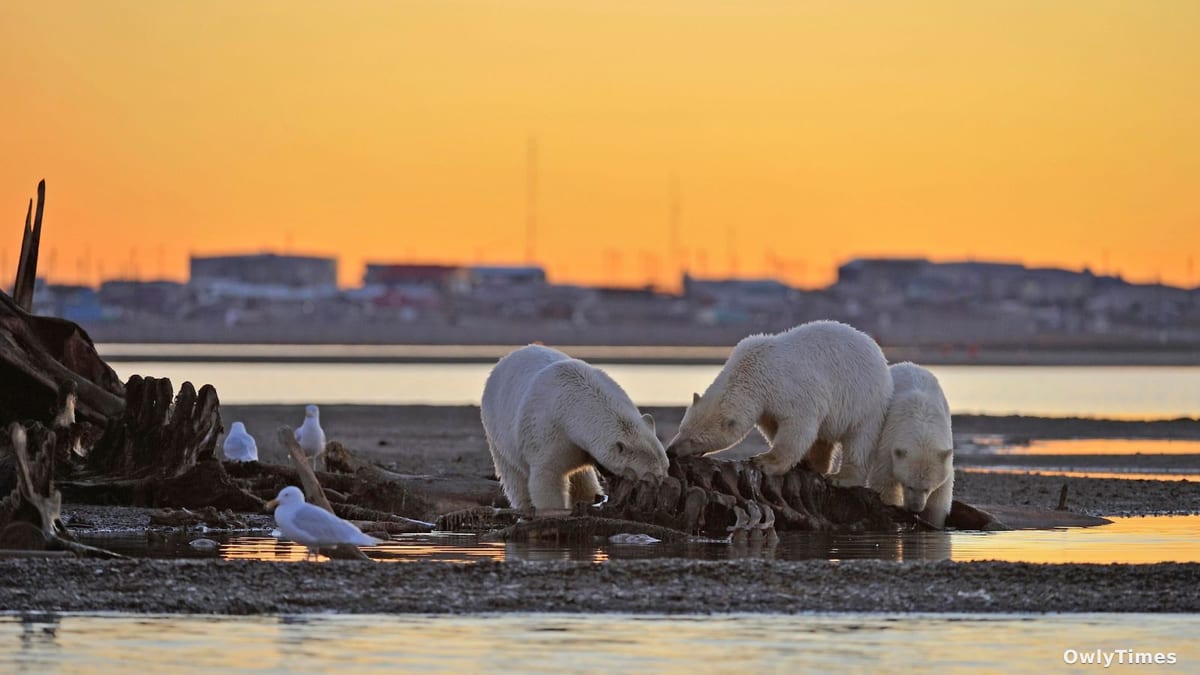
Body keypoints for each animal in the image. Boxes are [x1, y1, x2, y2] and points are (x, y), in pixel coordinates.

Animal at [481, 344, 670, 513]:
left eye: (666, 468)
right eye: (648, 477)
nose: (661, 486)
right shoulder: (548, 431)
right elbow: (547, 477)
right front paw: (554, 509)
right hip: (497, 431)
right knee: (513, 475)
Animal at [667, 320, 893, 479]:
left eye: (694, 440)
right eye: (681, 429)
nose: (671, 451)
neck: (753, 370)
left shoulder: (791, 389)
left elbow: (797, 426)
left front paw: (763, 462)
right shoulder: (766, 405)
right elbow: (773, 426)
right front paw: (798, 460)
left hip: (867, 402)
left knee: (859, 441)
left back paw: (843, 476)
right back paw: (814, 464)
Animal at [867, 362, 955, 528]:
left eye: (927, 489)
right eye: (909, 485)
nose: (916, 508)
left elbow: (942, 492)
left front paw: (932, 521)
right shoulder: (888, 443)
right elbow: (885, 481)